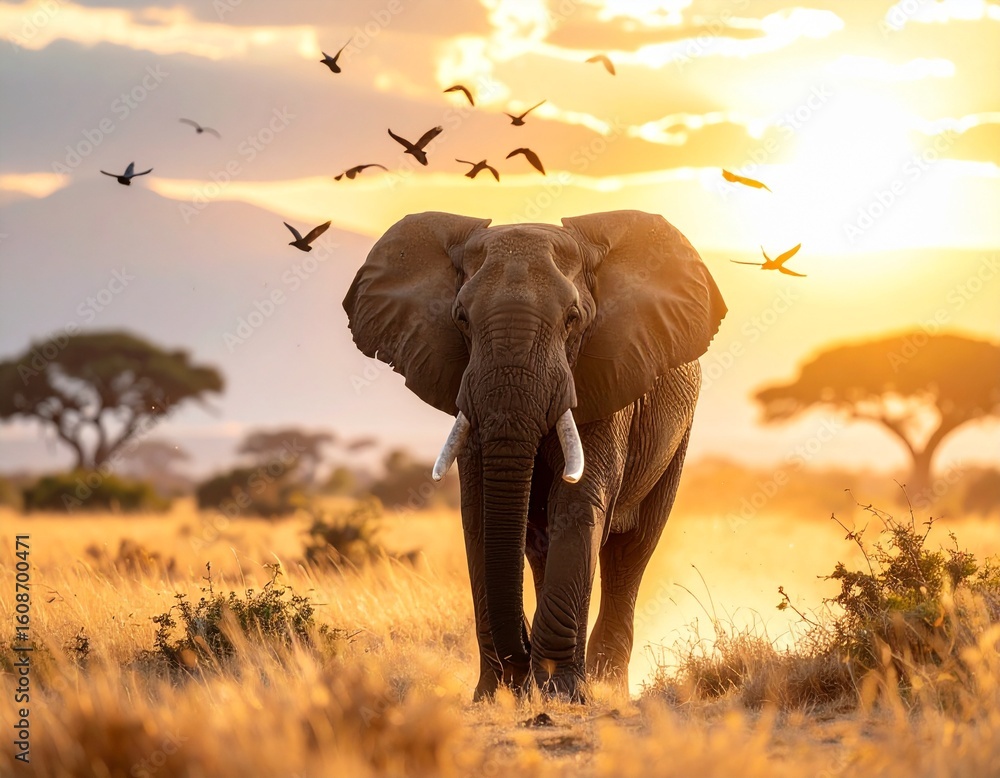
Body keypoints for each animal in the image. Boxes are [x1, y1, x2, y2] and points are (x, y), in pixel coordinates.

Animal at [343, 210, 726, 701]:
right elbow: (480, 514)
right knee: (541, 547)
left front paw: (560, 694)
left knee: (632, 551)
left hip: (678, 433)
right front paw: (496, 695)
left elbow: (579, 502)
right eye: (461, 318)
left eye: (573, 319)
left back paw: (606, 687)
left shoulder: (605, 377)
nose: (521, 662)